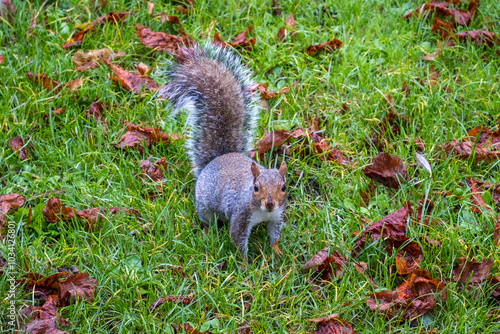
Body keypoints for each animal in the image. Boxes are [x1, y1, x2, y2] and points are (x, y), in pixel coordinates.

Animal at [160, 43, 286, 258]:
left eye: (283, 187)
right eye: (255, 188)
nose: (270, 203)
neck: (264, 213)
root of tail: (217, 159)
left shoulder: (277, 216)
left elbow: (274, 236)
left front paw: (277, 253)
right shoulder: (241, 216)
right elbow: (237, 240)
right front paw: (245, 264)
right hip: (204, 206)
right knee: (207, 220)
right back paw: (207, 233)